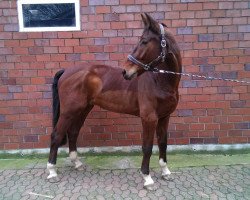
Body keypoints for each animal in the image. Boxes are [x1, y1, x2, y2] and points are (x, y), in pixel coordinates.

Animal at [47, 12, 182, 189]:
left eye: (144, 41)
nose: (126, 71)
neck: (160, 81)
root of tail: (66, 71)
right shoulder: (149, 118)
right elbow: (147, 147)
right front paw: (147, 178)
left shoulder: (164, 117)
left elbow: (163, 142)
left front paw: (166, 172)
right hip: (69, 111)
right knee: (56, 135)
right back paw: (52, 172)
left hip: (83, 109)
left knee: (73, 132)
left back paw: (77, 163)